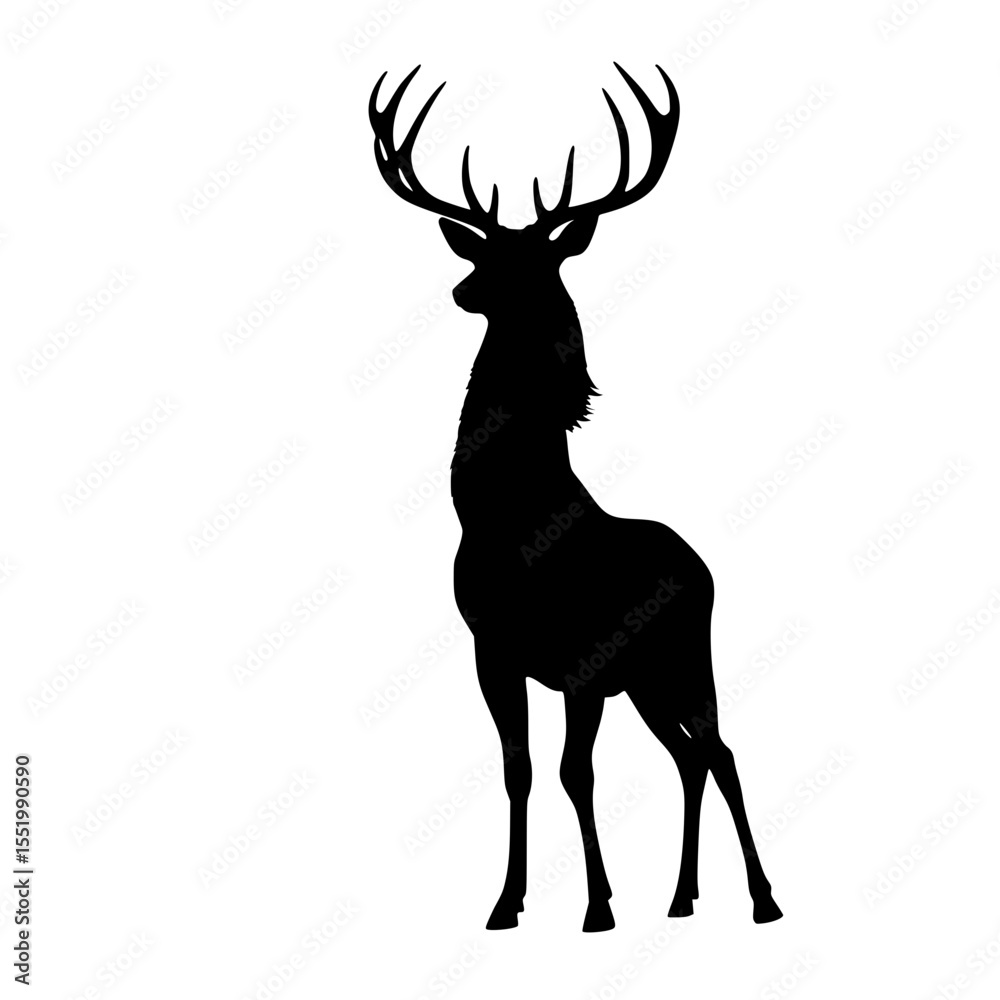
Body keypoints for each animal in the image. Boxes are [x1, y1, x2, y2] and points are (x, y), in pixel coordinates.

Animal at [369, 63, 782, 932]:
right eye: (488, 248)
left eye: (539, 259)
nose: (464, 288)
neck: (514, 524)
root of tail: (701, 563)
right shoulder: (493, 648)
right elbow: (520, 770)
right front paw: (506, 903)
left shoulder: (585, 661)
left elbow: (575, 774)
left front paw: (597, 905)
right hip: (648, 680)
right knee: (687, 757)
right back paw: (682, 898)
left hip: (686, 651)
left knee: (719, 749)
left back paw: (763, 899)